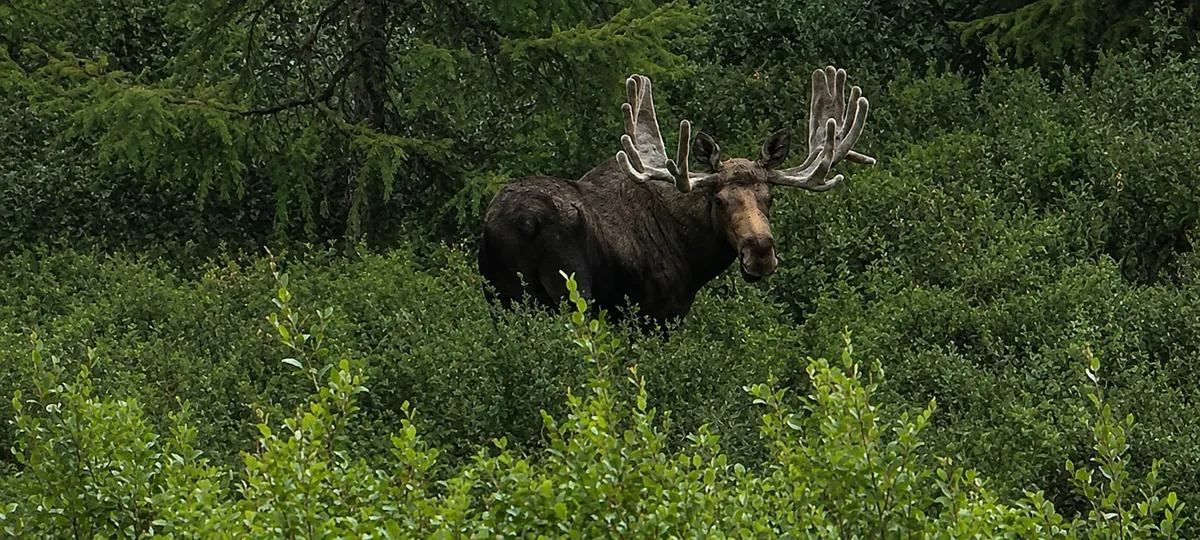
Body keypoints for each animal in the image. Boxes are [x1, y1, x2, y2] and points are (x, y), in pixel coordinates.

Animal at [478, 66, 875, 329]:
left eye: (770, 197)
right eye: (719, 200)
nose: (760, 252)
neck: (693, 253)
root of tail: (523, 221)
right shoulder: (657, 314)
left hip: (501, 299)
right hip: (569, 293)